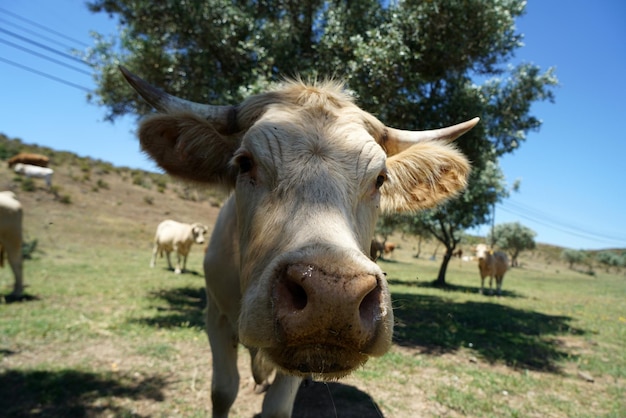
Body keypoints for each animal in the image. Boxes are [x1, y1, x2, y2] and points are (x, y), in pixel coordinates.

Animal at [119, 67, 476, 416]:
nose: (334, 296)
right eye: (244, 162)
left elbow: (277, 406)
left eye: (380, 178)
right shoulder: (215, 316)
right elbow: (222, 392)